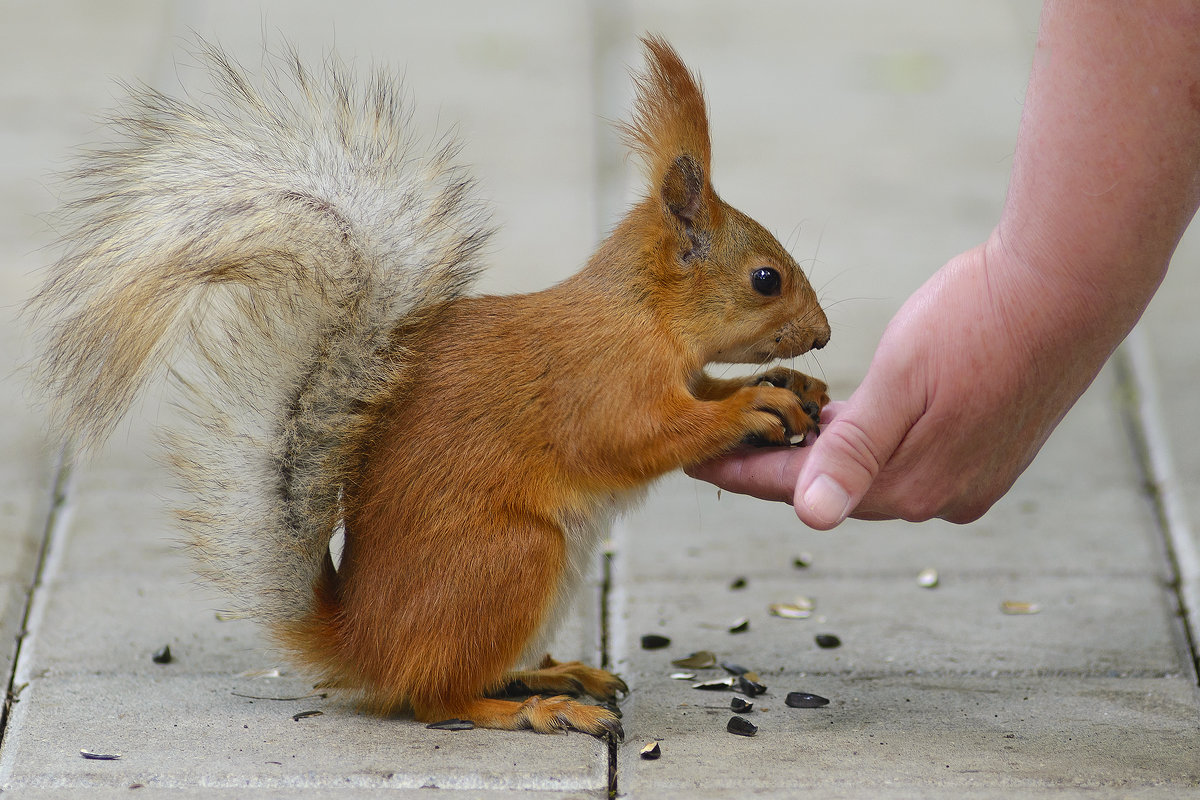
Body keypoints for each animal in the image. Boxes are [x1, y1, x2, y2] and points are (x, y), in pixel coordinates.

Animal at [30, 35, 835, 738]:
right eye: (766, 279)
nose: (824, 335)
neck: (641, 312)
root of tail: (362, 643)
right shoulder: (604, 381)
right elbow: (638, 437)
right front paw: (753, 403)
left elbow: (698, 391)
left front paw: (790, 383)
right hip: (512, 558)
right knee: (435, 696)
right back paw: (536, 708)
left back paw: (552, 674)